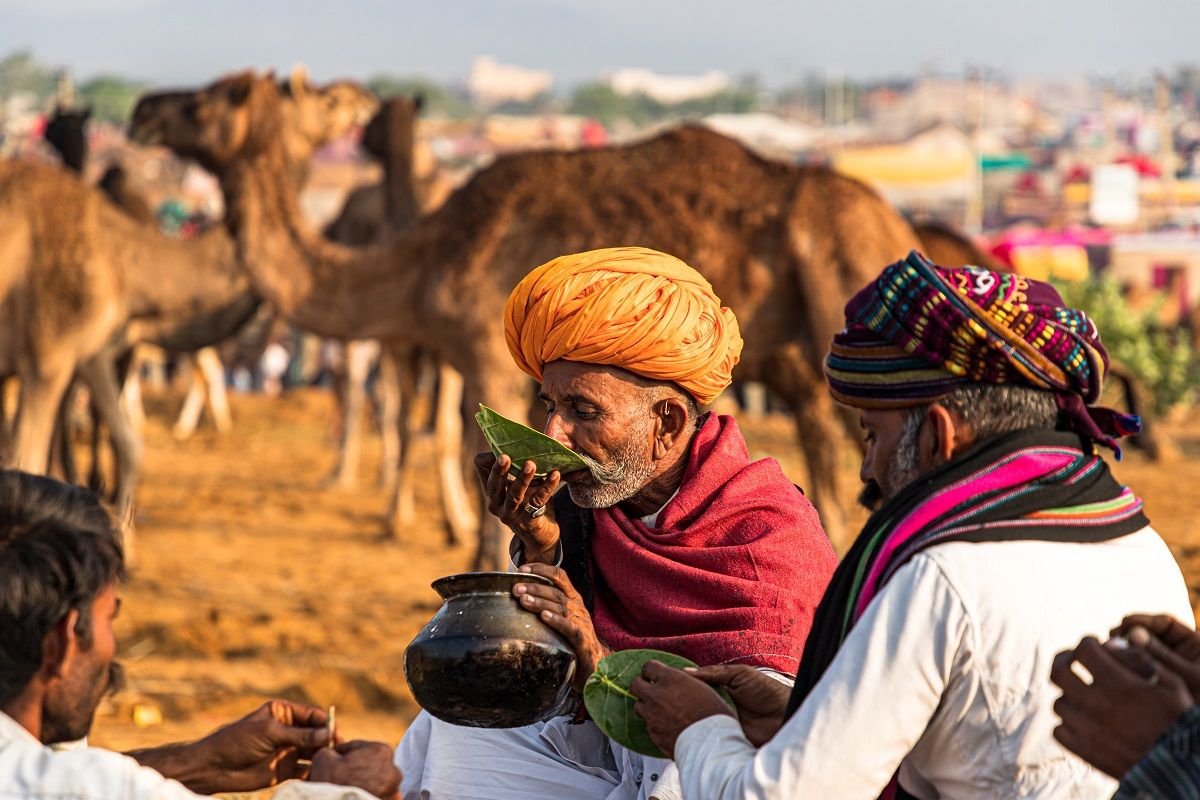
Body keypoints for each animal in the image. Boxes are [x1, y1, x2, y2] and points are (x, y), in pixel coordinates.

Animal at [126, 71, 926, 566]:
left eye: (216, 97)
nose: (141, 110)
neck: (423, 261)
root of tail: (892, 223)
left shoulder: (485, 355)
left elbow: (470, 474)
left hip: (841, 296)